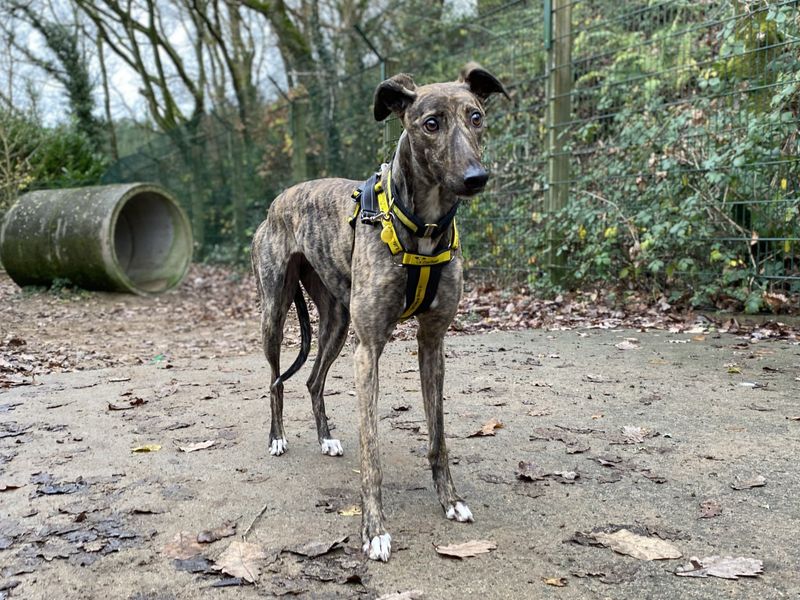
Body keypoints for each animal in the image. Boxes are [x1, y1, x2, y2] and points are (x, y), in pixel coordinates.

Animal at [253, 65, 510, 564]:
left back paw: (325, 437)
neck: (422, 226)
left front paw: (450, 500)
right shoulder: (368, 349)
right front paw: (374, 531)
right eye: (430, 123)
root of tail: (278, 201)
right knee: (276, 380)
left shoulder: (432, 344)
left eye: (476, 116)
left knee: (313, 380)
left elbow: (438, 436)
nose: (476, 177)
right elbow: (371, 452)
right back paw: (276, 437)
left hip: (336, 322)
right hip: (274, 313)